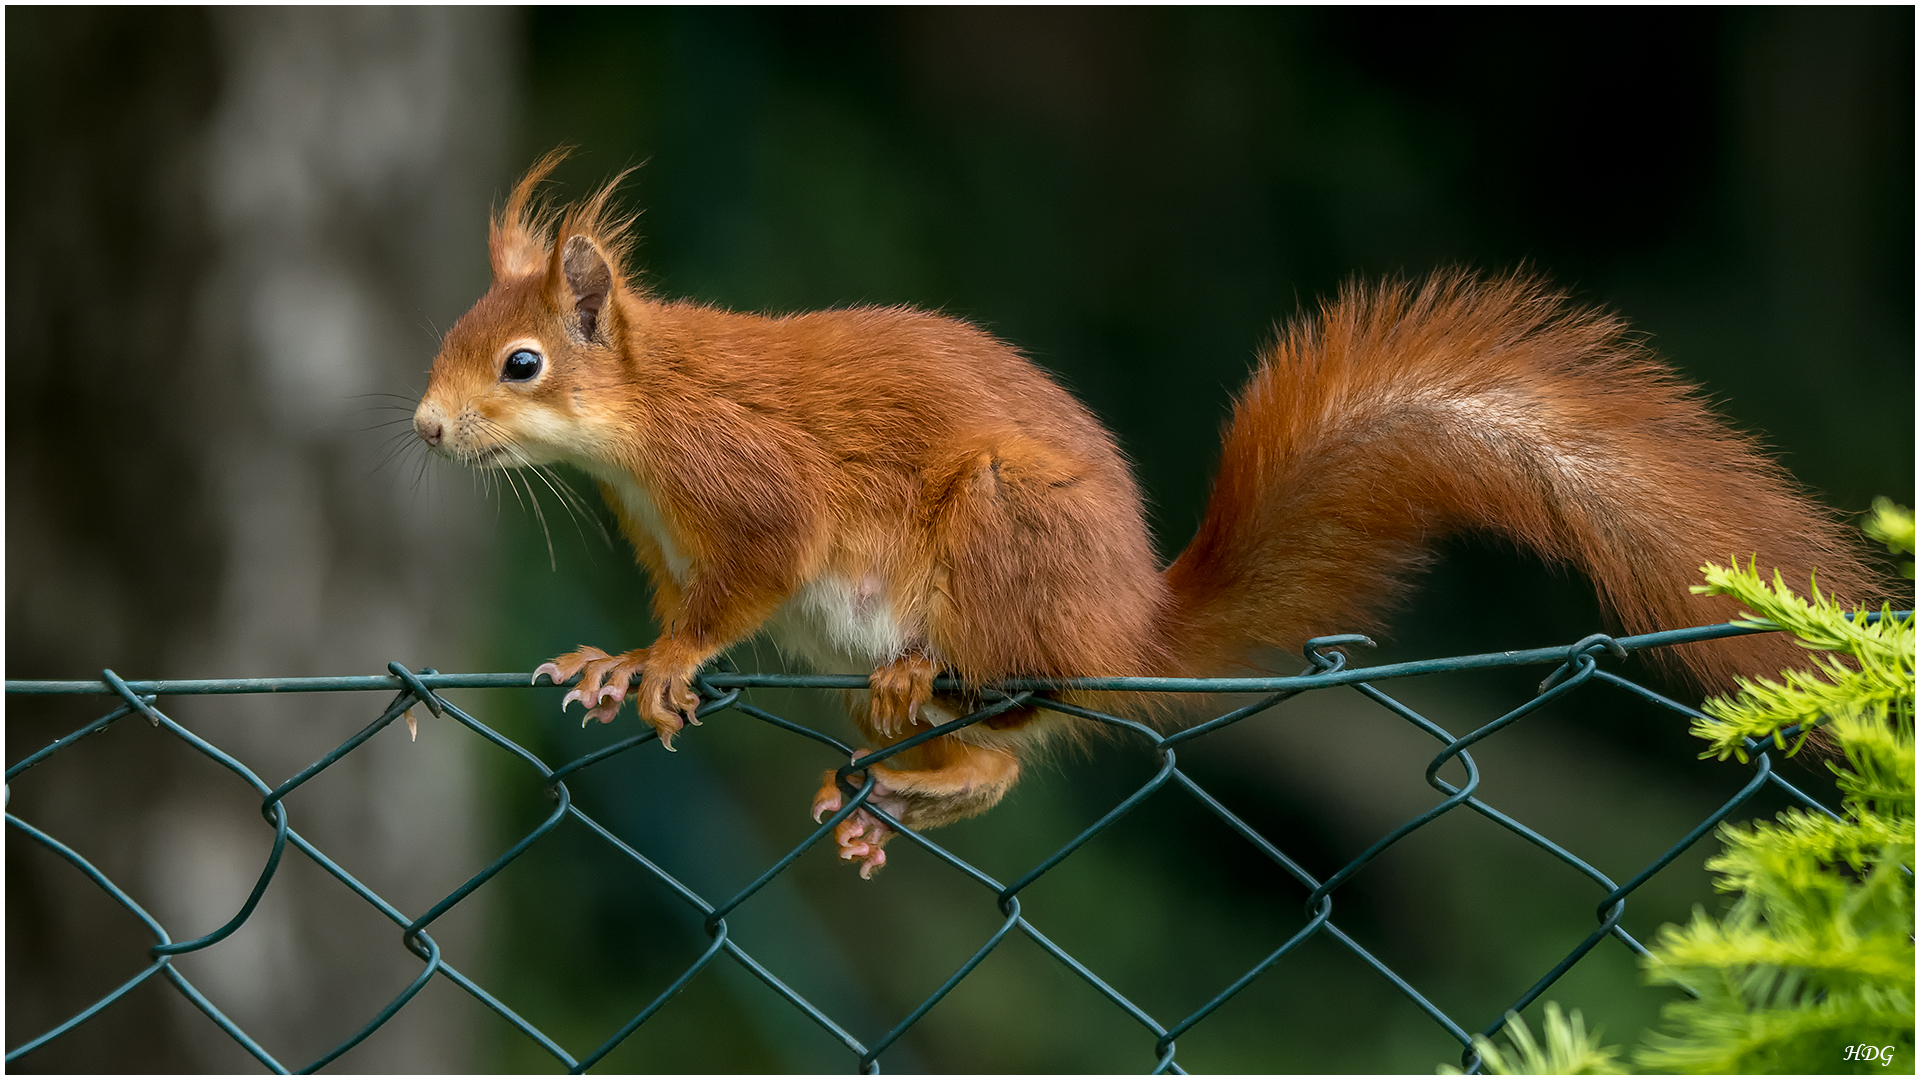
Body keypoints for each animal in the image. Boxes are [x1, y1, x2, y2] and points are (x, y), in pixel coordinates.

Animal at [416, 153, 1873, 876]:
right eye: (457, 340)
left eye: (522, 365)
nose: (426, 430)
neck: (639, 431)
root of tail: (1126, 624)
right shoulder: (670, 540)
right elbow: (681, 608)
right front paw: (619, 661)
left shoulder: (753, 491)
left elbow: (741, 590)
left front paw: (663, 665)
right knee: (1012, 748)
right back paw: (901, 790)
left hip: (999, 543)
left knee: (1017, 720)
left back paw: (917, 722)